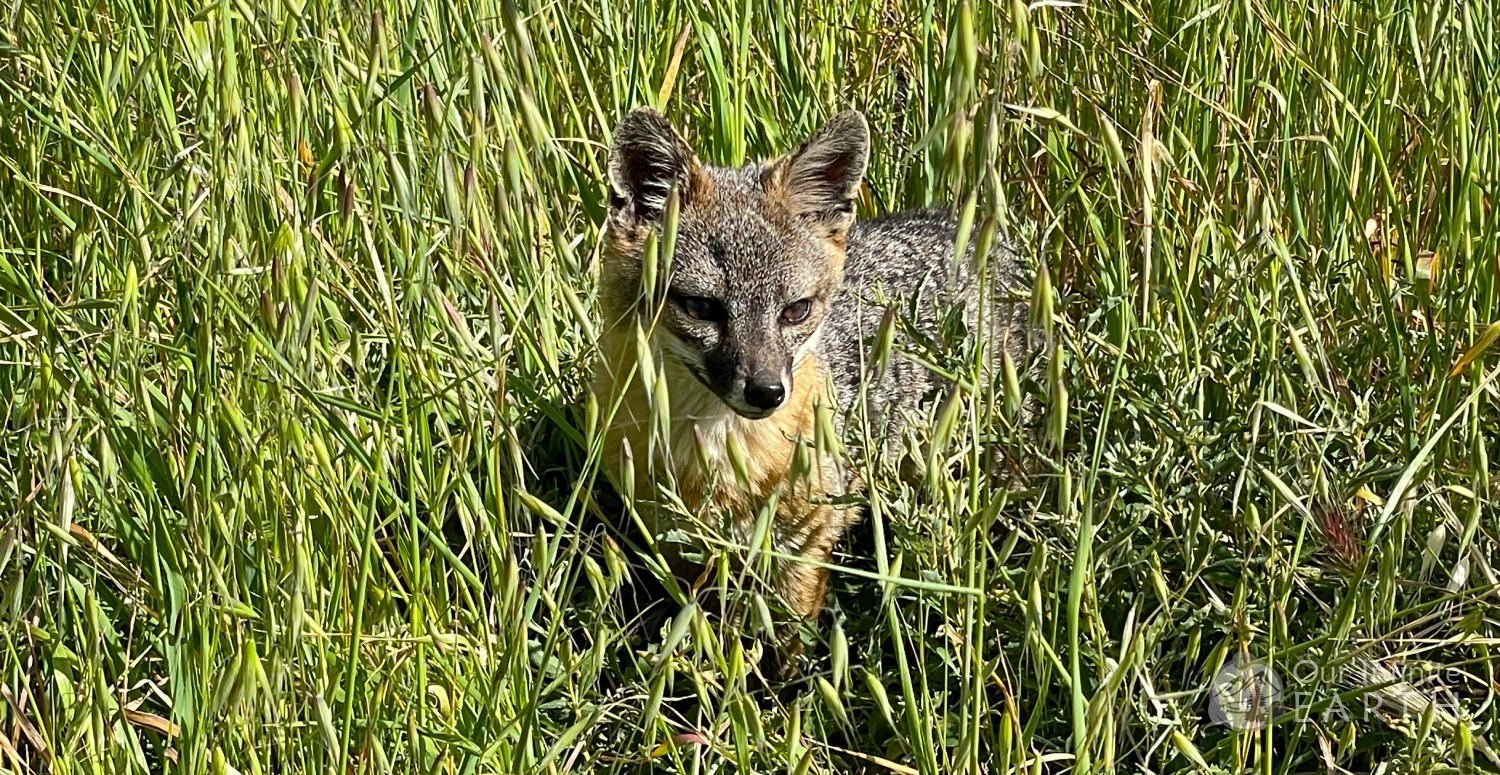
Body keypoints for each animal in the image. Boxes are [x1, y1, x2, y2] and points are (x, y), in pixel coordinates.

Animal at [591, 107, 1035, 648]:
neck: (712, 449)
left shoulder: (803, 546)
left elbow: (786, 641)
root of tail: (963, 226)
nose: (767, 391)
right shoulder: (676, 542)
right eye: (701, 308)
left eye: (796, 310)